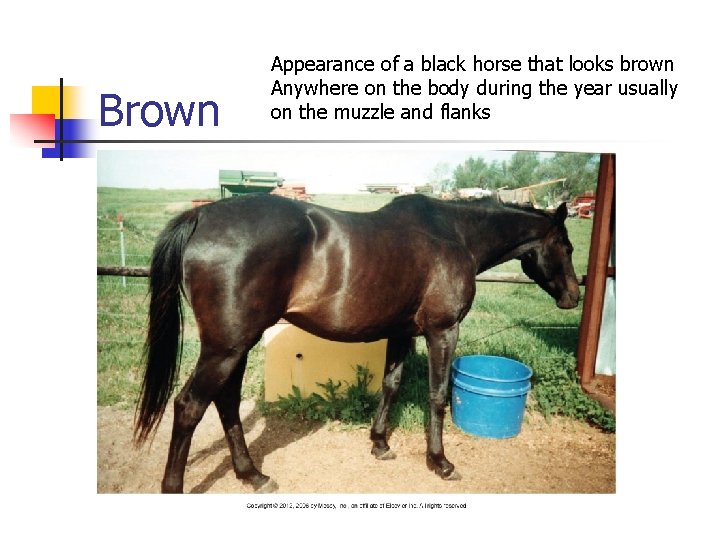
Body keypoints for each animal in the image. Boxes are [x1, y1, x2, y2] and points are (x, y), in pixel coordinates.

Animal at [134, 193, 580, 493]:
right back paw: (176, 486)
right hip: (225, 349)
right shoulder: (443, 330)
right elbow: (438, 396)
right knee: (190, 406)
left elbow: (391, 385)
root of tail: (201, 214)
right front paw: (439, 461)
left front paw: (380, 443)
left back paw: (252, 474)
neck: (455, 235)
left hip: (236, 345)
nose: (573, 296)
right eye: (567, 245)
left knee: (225, 402)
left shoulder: (400, 332)